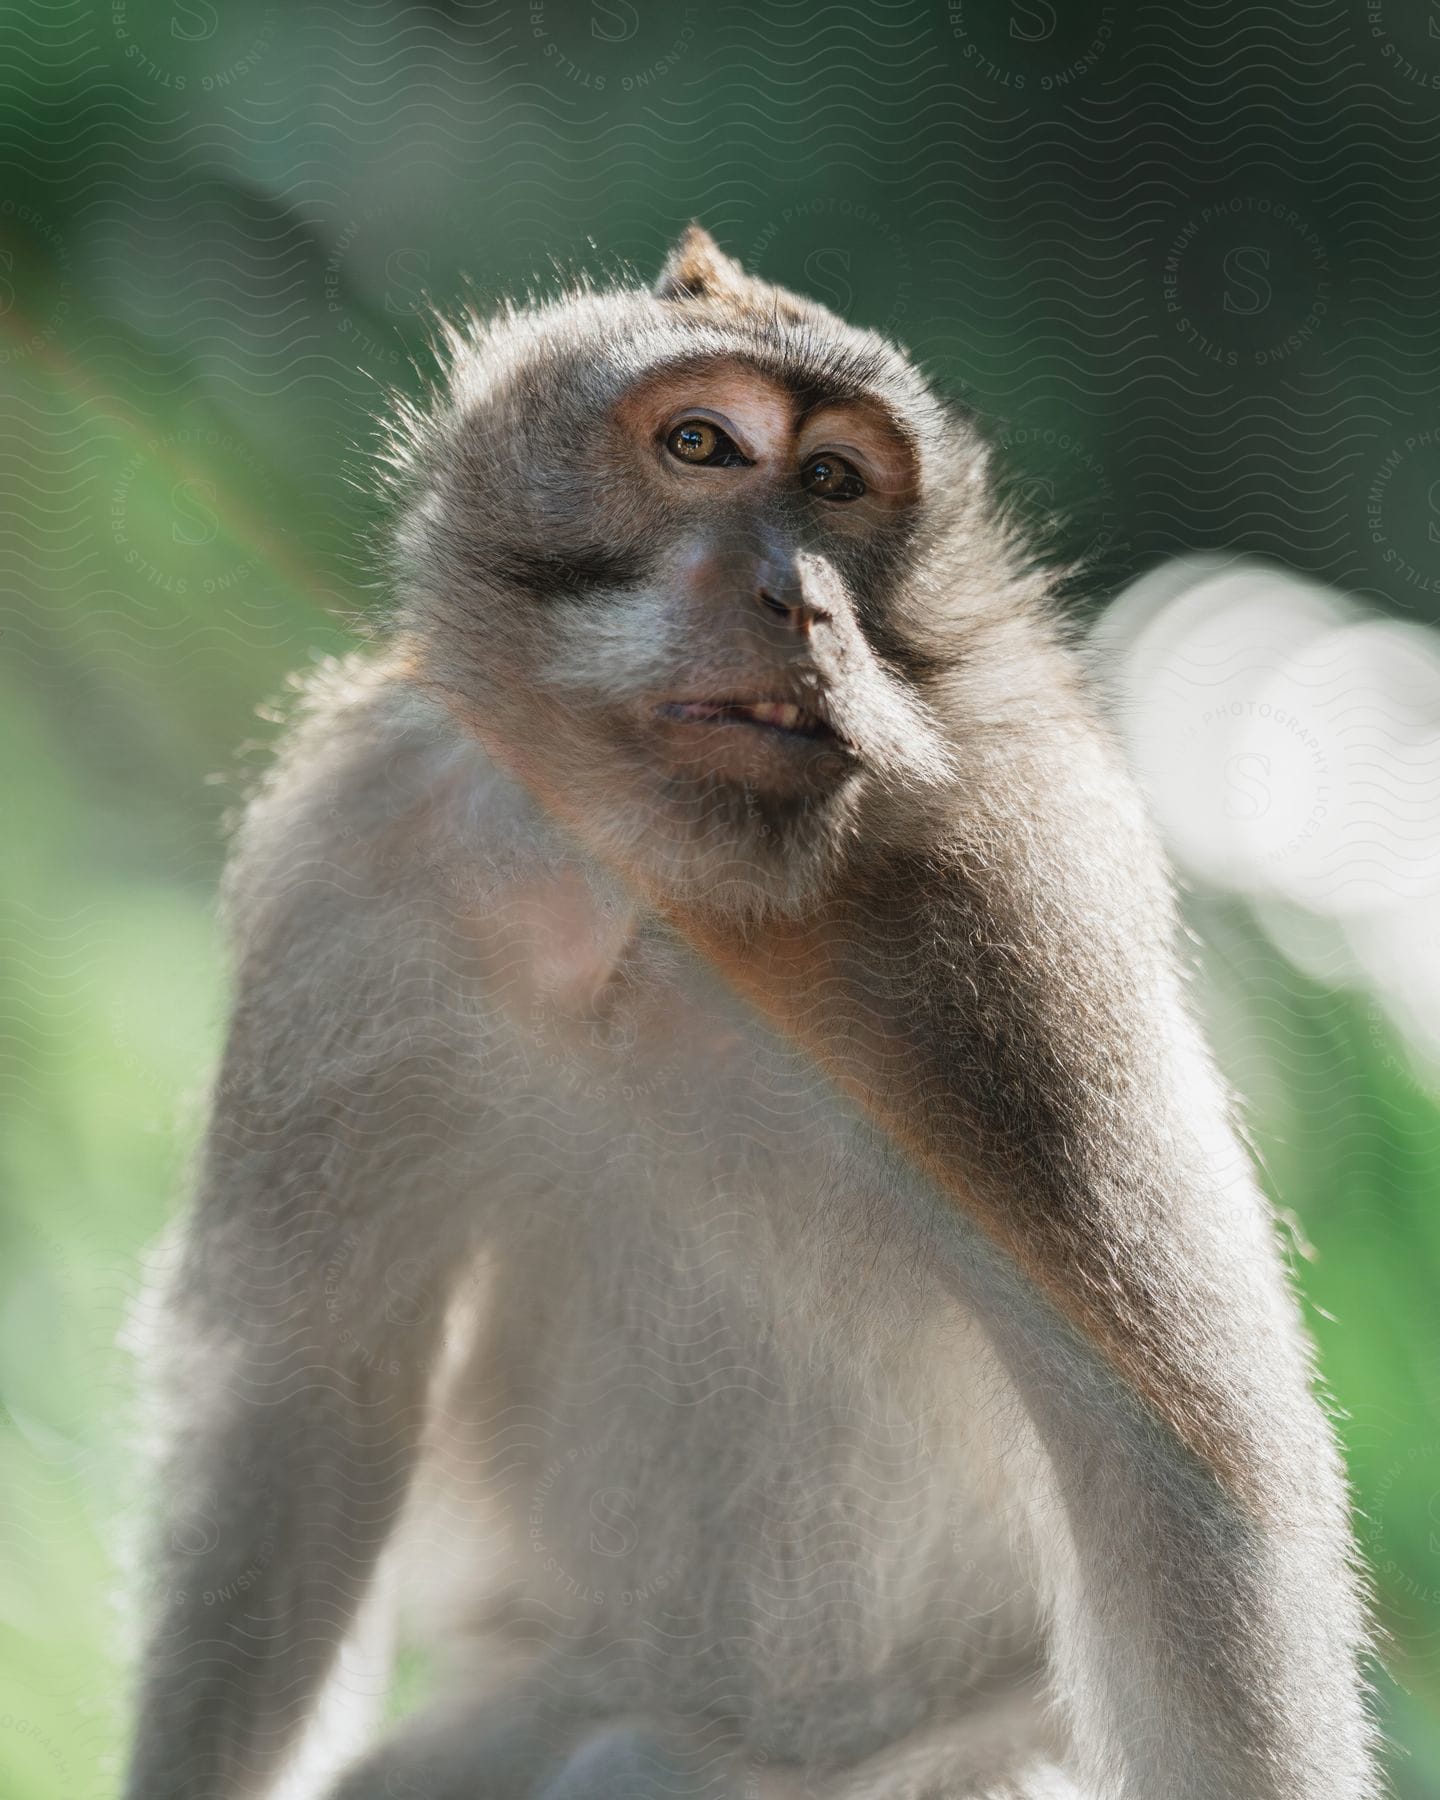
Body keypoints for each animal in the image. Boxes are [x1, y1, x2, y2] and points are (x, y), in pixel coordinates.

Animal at [124, 228, 1382, 1800]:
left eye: (837, 482)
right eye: (702, 445)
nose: (801, 598)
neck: (669, 896)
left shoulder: (1019, 919)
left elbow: (1177, 1477)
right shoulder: (358, 866)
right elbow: (303, 1402)